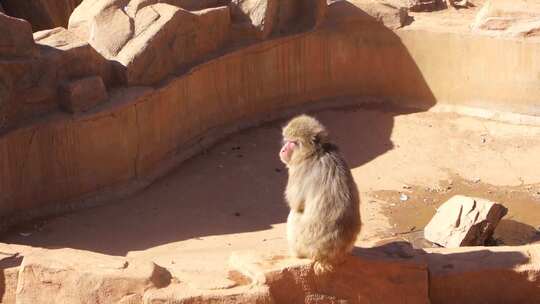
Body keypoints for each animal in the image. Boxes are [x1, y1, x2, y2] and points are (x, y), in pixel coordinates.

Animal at [278, 114, 362, 274]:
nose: (283, 149)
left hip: (304, 245)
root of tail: (327, 257)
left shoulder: (299, 170)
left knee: (294, 215)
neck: (317, 152)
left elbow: (295, 203)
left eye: (293, 143)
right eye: (287, 140)